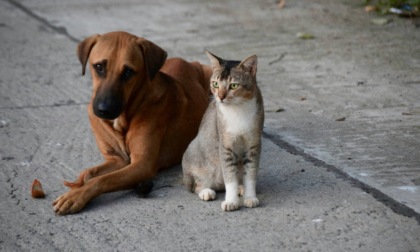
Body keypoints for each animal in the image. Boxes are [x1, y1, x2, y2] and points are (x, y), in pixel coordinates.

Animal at [52, 30, 212, 214]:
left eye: (128, 72)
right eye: (99, 67)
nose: (104, 110)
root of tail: (191, 62)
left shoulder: (142, 164)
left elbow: (103, 179)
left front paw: (77, 195)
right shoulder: (117, 160)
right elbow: (89, 173)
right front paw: (77, 185)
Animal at [182, 50, 264, 211]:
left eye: (233, 85)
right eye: (215, 84)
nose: (220, 97)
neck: (238, 109)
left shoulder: (254, 144)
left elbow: (250, 174)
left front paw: (250, 197)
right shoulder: (225, 145)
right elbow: (229, 176)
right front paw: (231, 201)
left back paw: (241, 188)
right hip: (195, 154)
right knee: (197, 185)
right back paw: (206, 191)